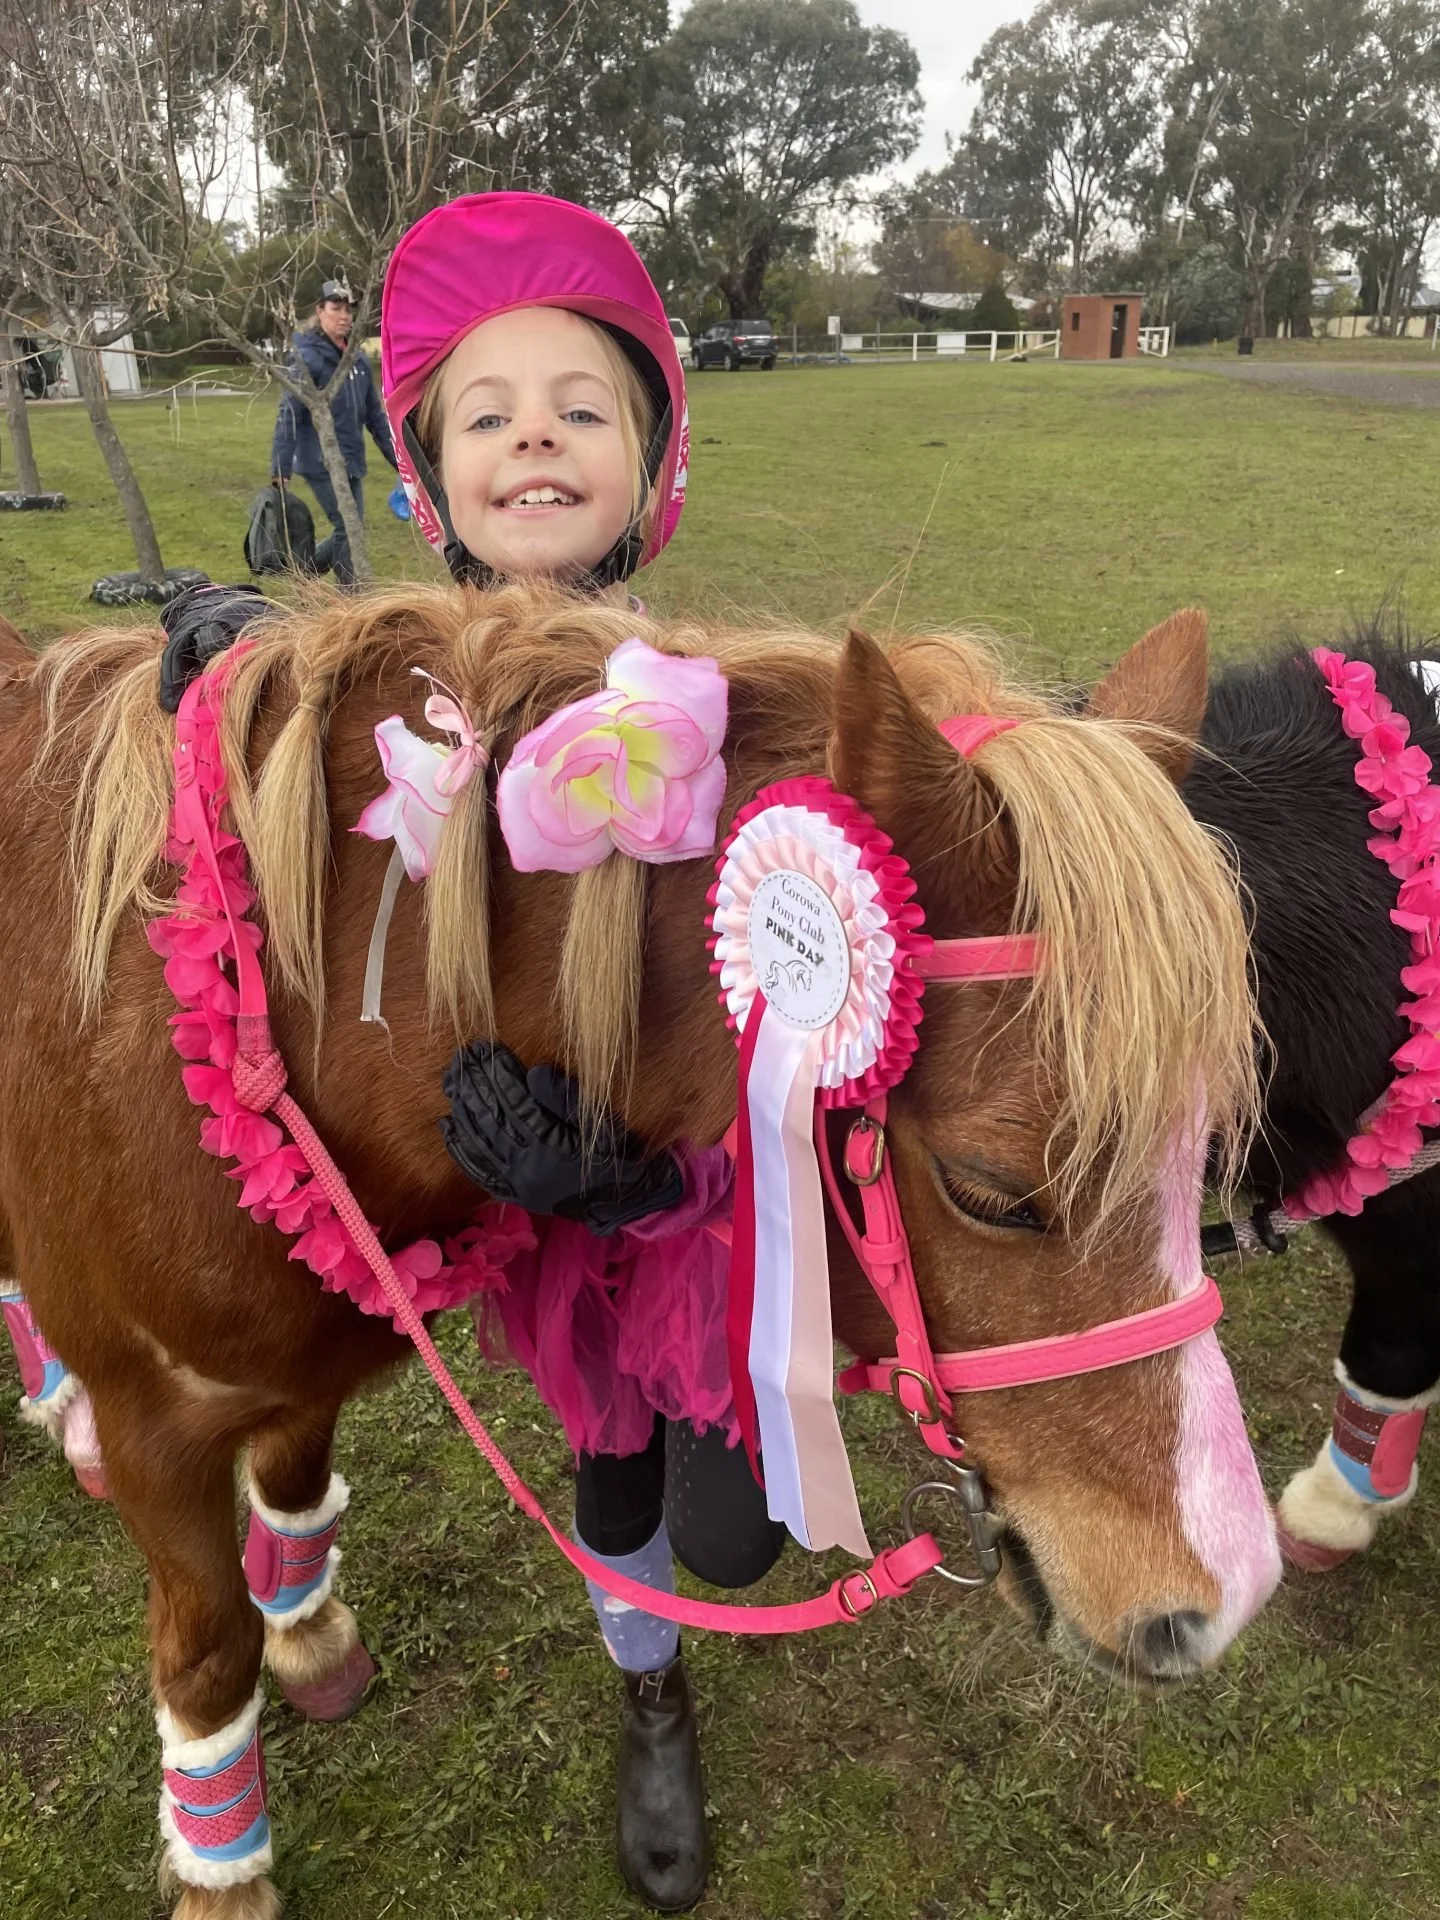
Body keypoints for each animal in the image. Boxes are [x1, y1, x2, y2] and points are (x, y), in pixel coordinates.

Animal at [0, 584, 1280, 1919]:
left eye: (1201, 1150)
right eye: (991, 1191)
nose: (1227, 1591)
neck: (253, 1010)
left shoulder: (310, 1361)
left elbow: (295, 1496)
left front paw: (309, 1634)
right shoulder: (161, 1428)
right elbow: (207, 1656)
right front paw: (224, 1874)